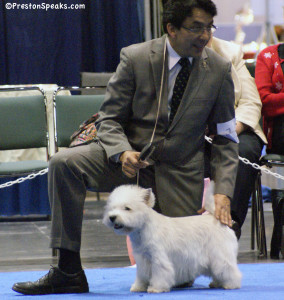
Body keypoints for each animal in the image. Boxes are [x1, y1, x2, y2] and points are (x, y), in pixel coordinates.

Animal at [103, 182, 241, 292]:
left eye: (127, 208)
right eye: (112, 208)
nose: (112, 217)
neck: (142, 231)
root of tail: (215, 218)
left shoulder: (158, 258)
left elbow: (160, 273)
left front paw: (155, 288)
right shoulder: (142, 259)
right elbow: (142, 275)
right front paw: (138, 287)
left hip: (220, 254)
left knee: (228, 269)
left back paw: (231, 285)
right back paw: (216, 283)